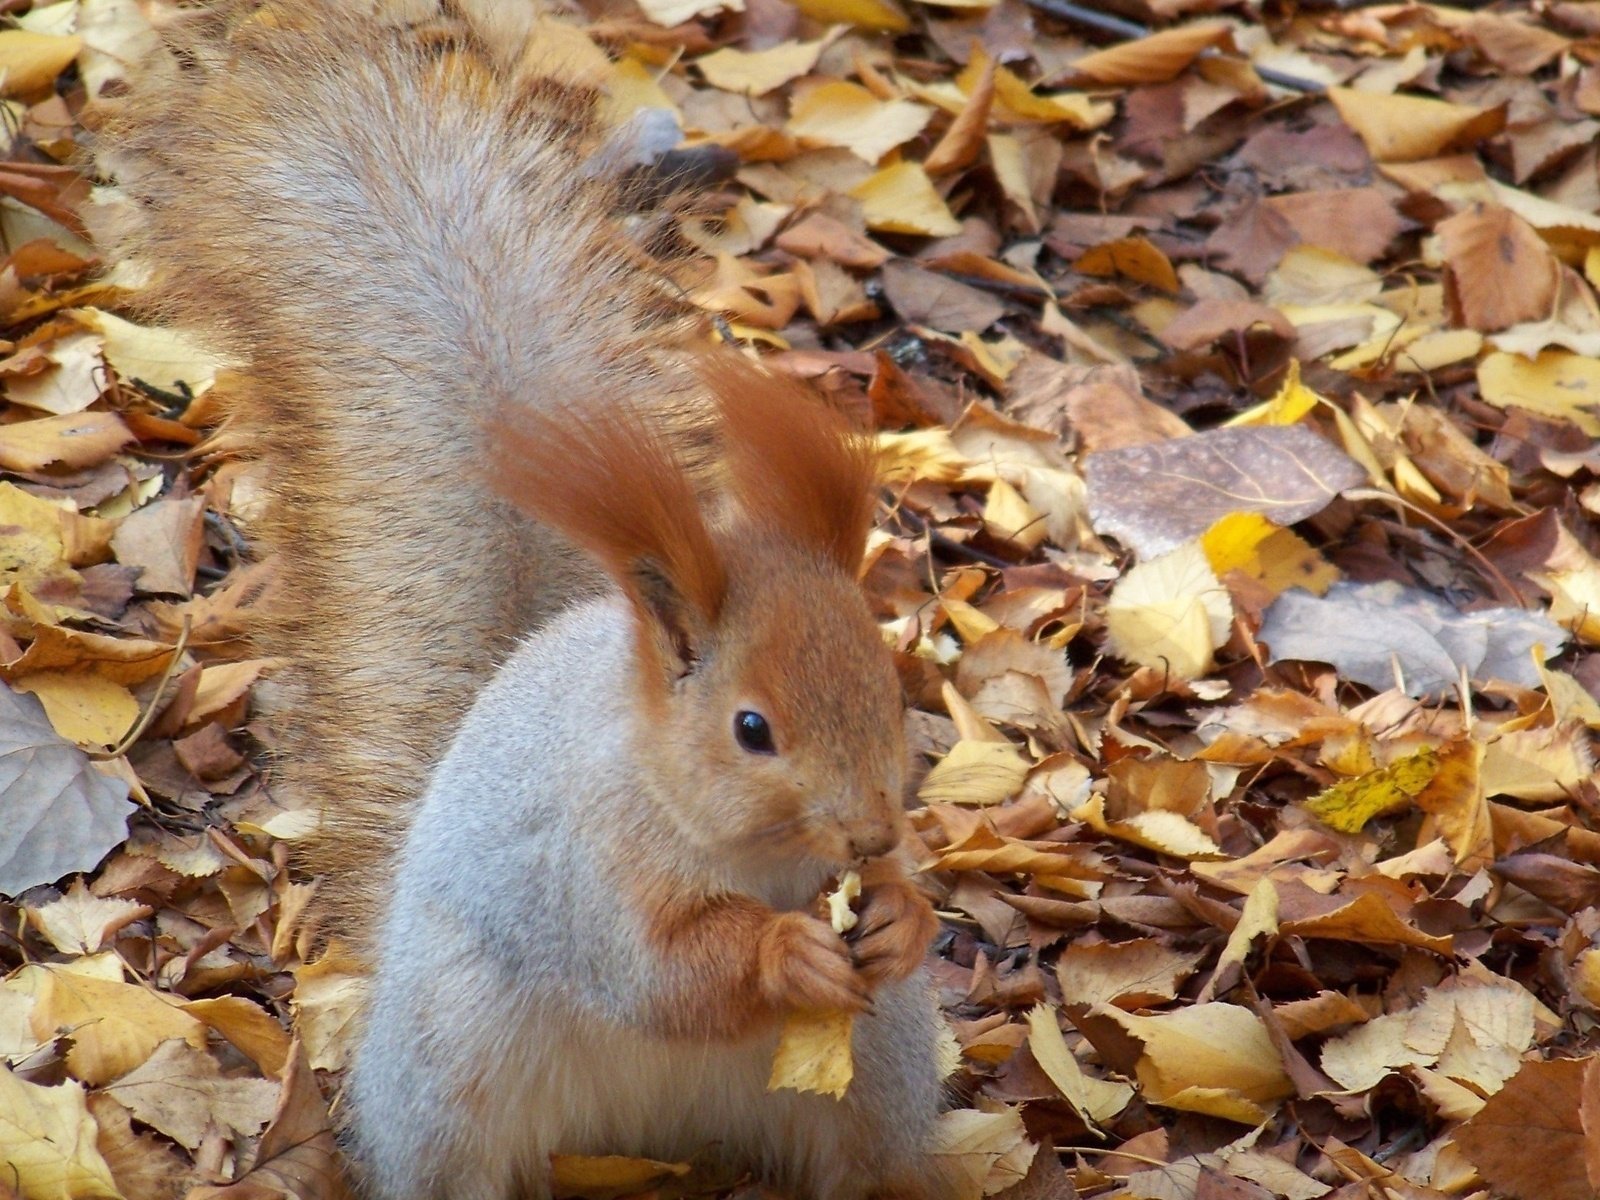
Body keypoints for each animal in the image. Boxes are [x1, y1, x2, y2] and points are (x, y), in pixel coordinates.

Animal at [93, 2, 947, 1200]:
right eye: (751, 729)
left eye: (891, 686)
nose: (870, 834)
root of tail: (655, 1135)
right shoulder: (584, 870)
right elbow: (661, 974)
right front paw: (787, 951)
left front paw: (904, 914)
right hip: (456, 1065)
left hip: (880, 1069)